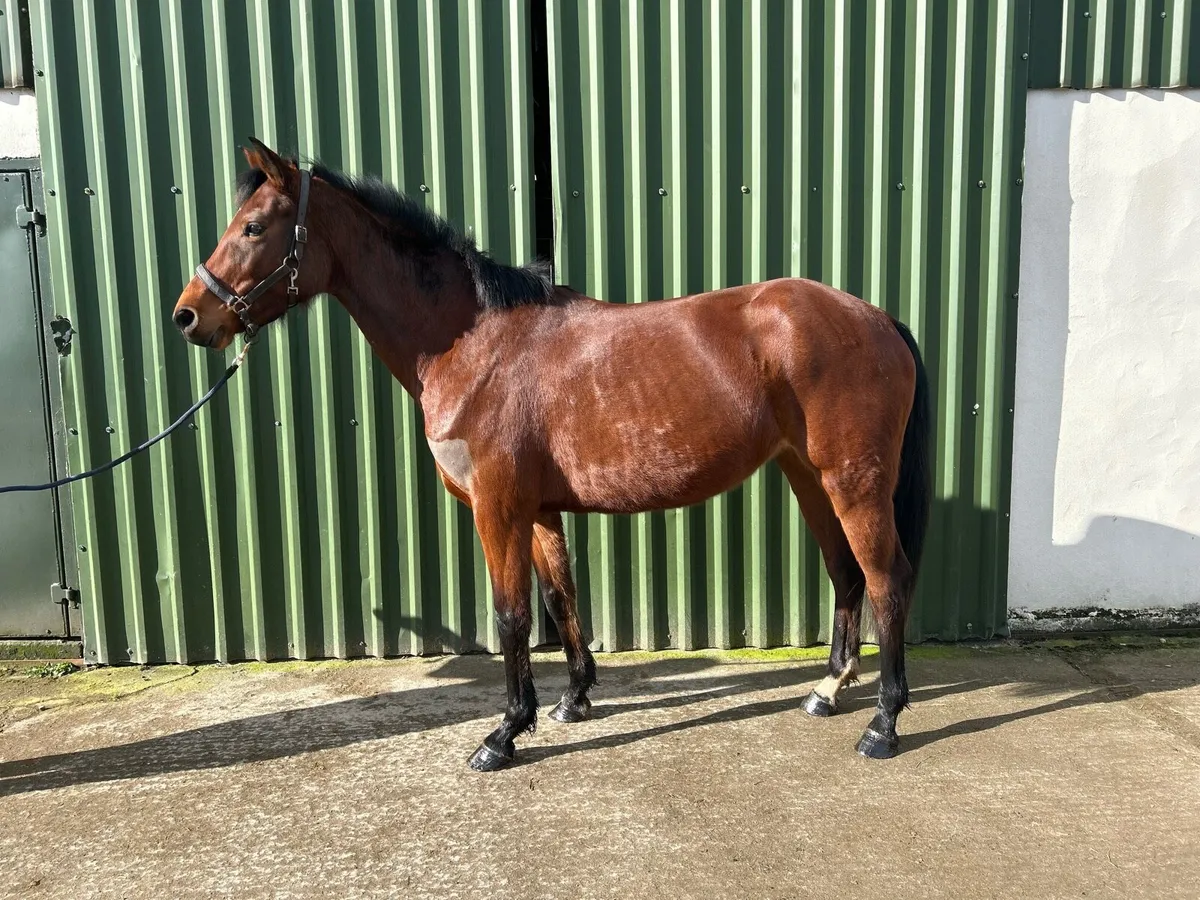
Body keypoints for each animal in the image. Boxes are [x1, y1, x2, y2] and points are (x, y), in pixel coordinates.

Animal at [173, 138, 931, 771]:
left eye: (253, 227)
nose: (187, 316)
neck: (471, 343)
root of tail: (877, 317)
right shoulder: (536, 511)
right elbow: (560, 596)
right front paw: (573, 700)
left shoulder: (497, 508)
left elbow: (511, 616)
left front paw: (504, 733)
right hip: (808, 476)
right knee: (846, 574)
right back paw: (827, 690)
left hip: (853, 482)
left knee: (887, 579)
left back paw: (883, 724)